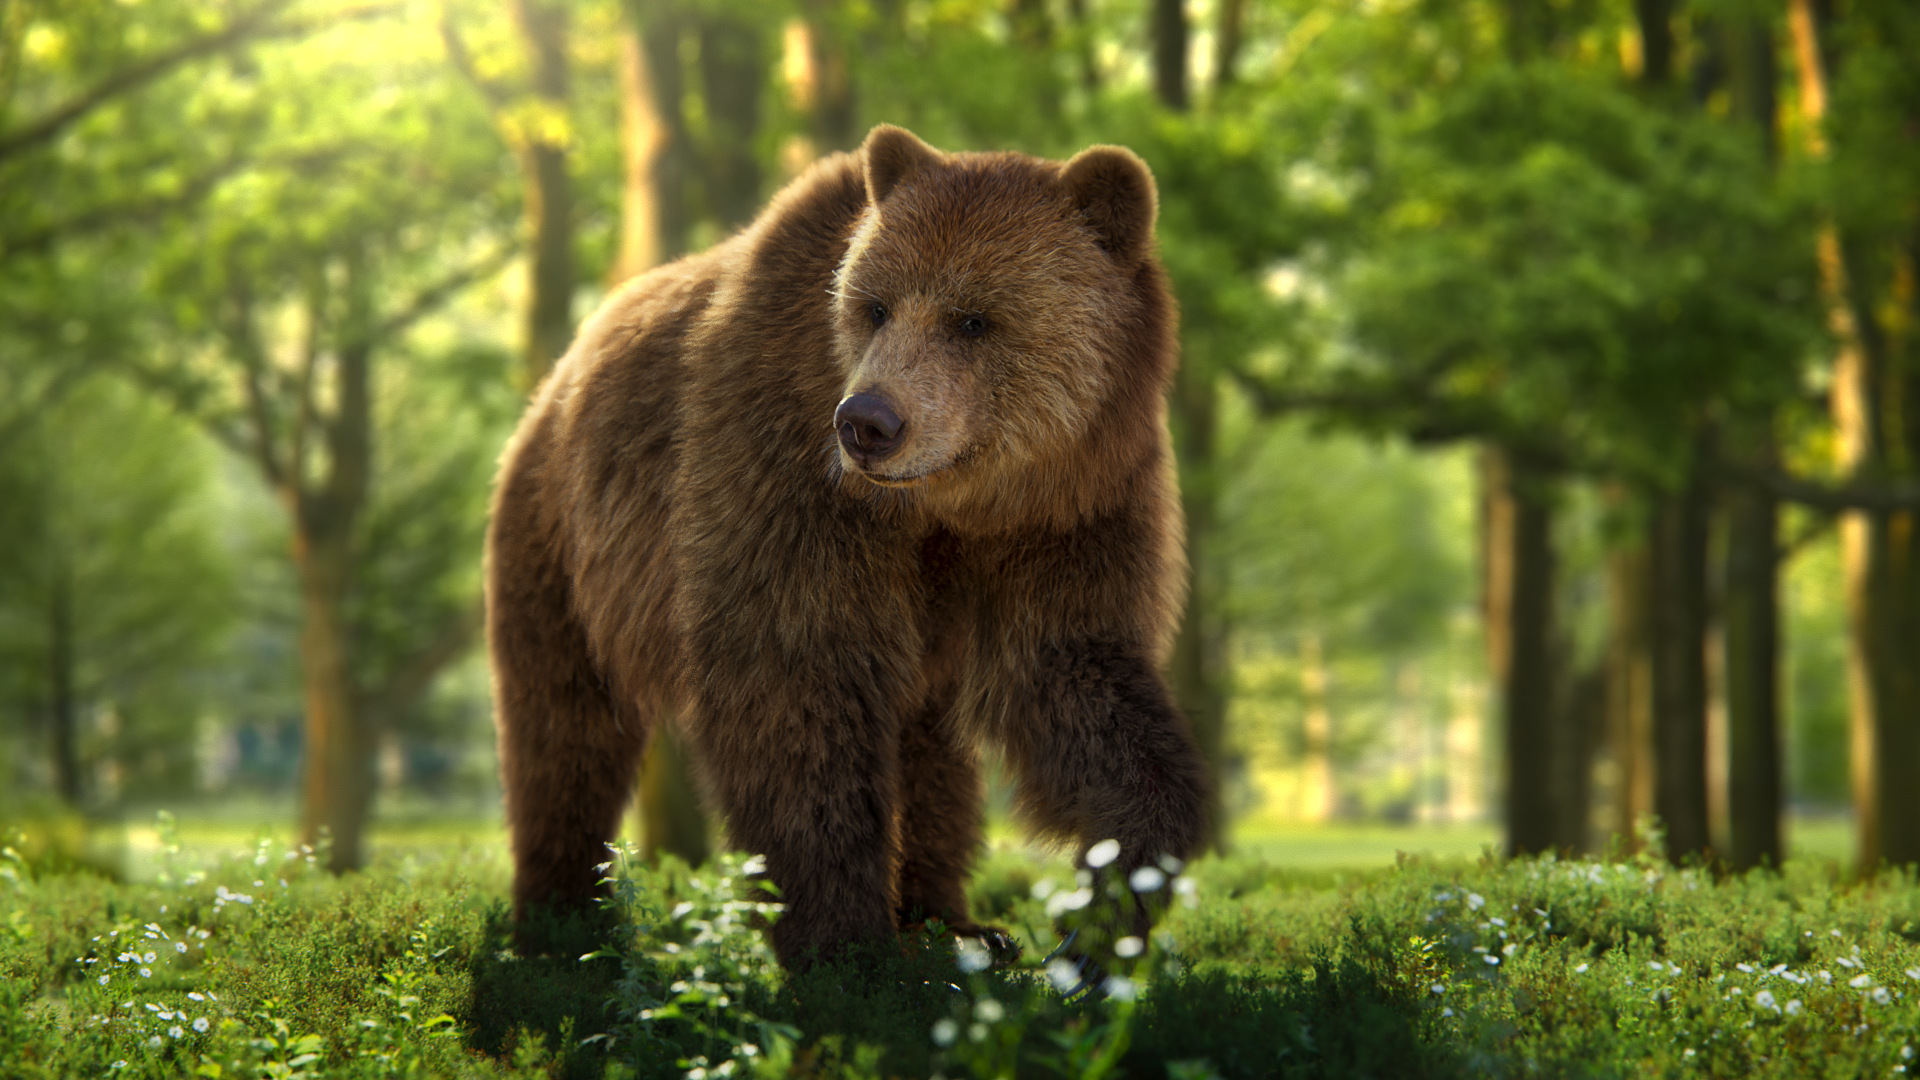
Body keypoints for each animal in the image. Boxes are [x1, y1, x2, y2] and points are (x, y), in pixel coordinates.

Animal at [485, 123, 1210, 971]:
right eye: (874, 307)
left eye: (973, 319)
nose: (869, 422)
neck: (945, 505)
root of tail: (556, 377)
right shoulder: (783, 477)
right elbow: (798, 683)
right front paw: (844, 945)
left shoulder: (1071, 510)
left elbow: (1074, 672)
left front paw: (1108, 907)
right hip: (561, 538)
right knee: (563, 726)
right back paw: (560, 919)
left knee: (929, 746)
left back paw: (948, 919)